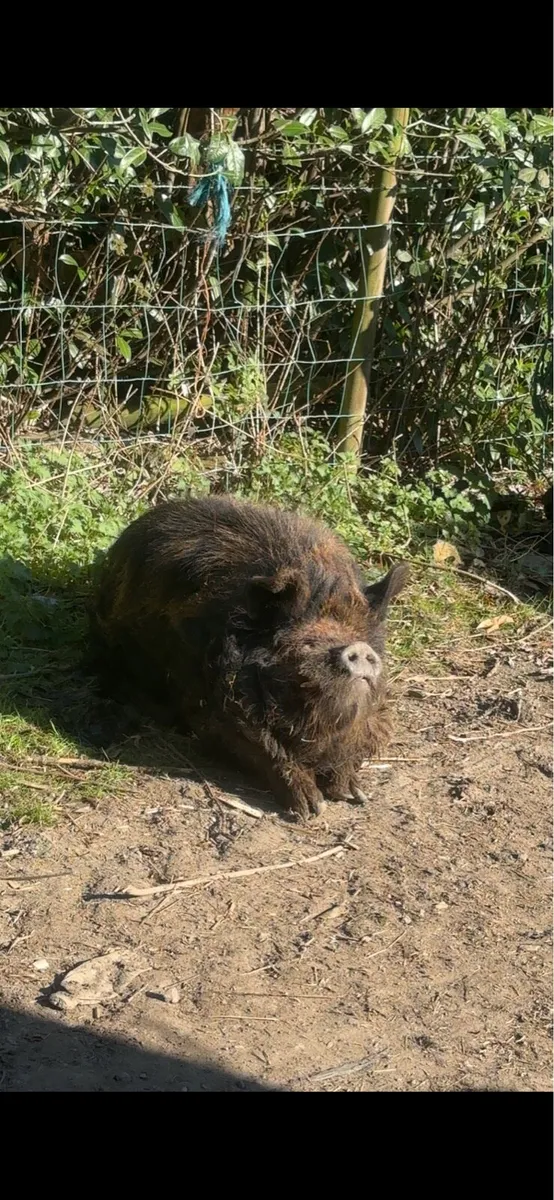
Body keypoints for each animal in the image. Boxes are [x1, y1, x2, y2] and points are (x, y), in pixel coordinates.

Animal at [91, 495, 408, 818]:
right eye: (307, 644)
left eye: (365, 639)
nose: (360, 649)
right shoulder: (208, 708)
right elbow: (262, 748)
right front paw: (311, 808)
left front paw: (354, 795)